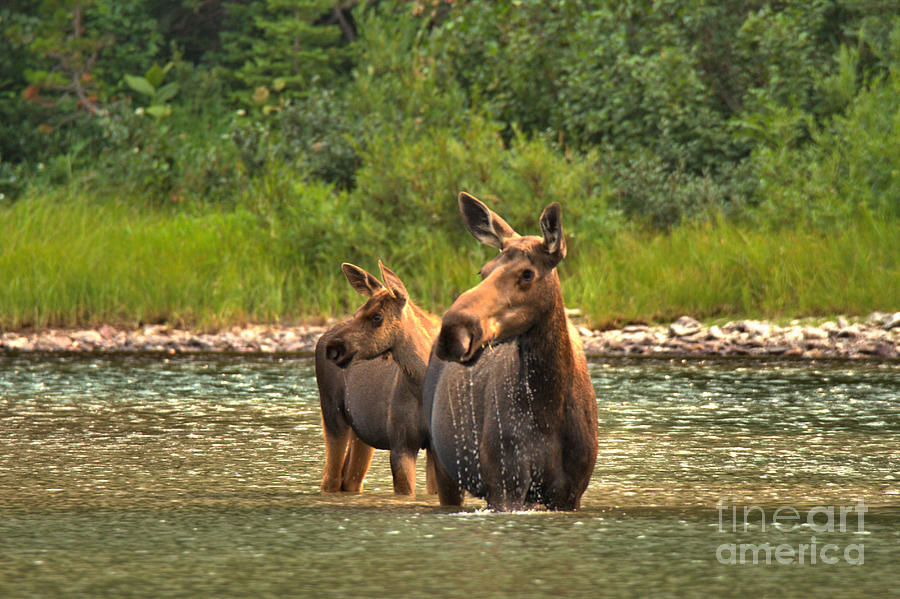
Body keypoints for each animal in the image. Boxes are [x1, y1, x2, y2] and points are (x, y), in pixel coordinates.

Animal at [317, 261, 441, 495]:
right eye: (357, 312)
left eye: (377, 317)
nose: (333, 348)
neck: (421, 384)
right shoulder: (401, 445)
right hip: (332, 415)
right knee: (331, 477)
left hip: (362, 431)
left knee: (351, 478)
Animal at [423, 192, 598, 511]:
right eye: (482, 271)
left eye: (527, 274)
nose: (453, 331)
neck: (548, 406)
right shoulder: (504, 484)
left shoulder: (570, 492)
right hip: (443, 465)